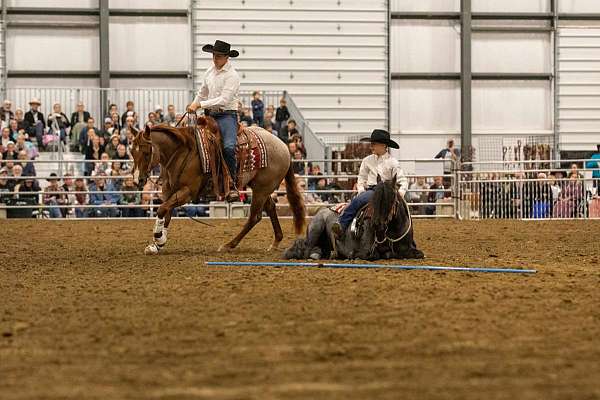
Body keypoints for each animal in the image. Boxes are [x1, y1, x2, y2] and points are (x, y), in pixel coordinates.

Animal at [129, 115, 302, 253]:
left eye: (146, 153)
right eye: (131, 151)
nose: (137, 180)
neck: (182, 152)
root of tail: (284, 146)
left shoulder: (187, 192)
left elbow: (162, 209)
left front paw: (158, 237)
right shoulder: (169, 191)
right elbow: (166, 212)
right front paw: (158, 244)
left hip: (262, 189)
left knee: (254, 217)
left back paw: (229, 245)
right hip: (261, 188)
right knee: (271, 208)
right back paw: (275, 242)